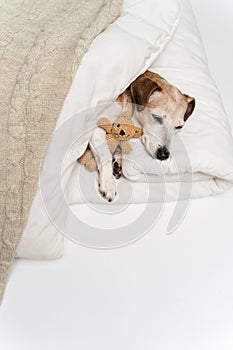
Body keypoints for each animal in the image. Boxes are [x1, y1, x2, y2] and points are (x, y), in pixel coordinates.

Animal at [89, 69, 195, 201]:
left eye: (179, 127)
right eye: (156, 117)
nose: (164, 155)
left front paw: (117, 162)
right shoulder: (97, 129)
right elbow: (105, 154)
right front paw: (108, 182)